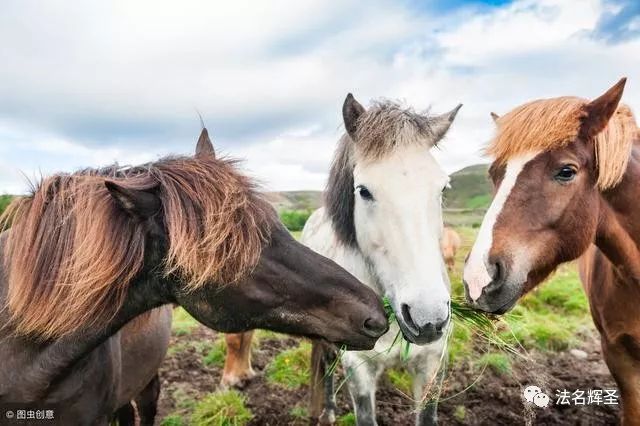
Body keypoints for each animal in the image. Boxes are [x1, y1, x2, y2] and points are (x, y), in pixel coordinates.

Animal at [304, 95, 460, 424]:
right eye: (363, 191)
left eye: (443, 187)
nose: (428, 318)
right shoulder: (358, 368)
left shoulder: (432, 363)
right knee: (326, 365)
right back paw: (329, 410)